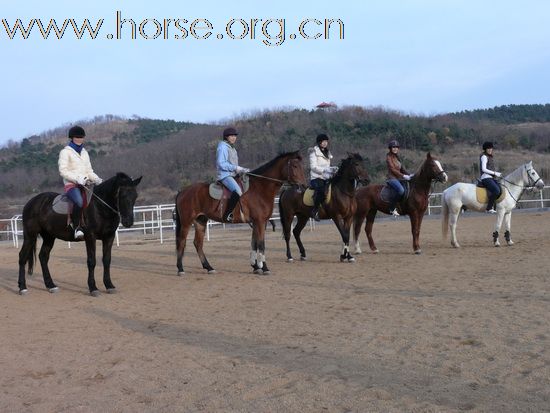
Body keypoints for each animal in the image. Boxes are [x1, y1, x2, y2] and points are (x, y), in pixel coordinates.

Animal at [176, 150, 308, 276]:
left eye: (302, 166)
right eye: (295, 166)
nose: (304, 186)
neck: (260, 188)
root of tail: (183, 191)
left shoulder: (257, 222)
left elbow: (254, 243)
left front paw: (255, 267)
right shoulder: (260, 222)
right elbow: (261, 244)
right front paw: (264, 268)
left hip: (201, 221)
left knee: (198, 243)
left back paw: (209, 268)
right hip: (187, 222)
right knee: (182, 242)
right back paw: (180, 269)